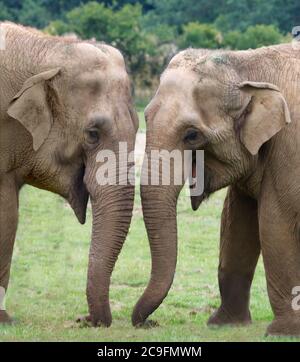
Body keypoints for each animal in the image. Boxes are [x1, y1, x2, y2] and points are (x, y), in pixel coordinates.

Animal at [134, 43, 300, 336]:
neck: (245, 64)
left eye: (191, 135)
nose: (146, 323)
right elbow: (236, 224)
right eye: (146, 116)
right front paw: (224, 324)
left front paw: (283, 332)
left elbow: (275, 223)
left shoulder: (289, 148)